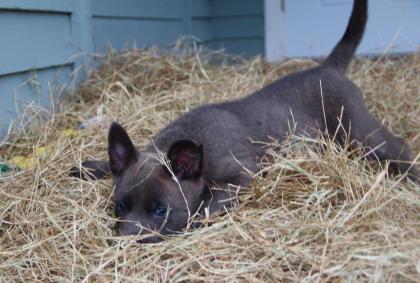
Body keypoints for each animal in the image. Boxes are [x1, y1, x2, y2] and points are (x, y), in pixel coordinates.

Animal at [71, 0, 416, 244]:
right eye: (120, 207)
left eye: (160, 211)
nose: (125, 244)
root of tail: (327, 68)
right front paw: (90, 166)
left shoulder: (241, 176)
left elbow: (207, 205)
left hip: (359, 131)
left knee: (399, 148)